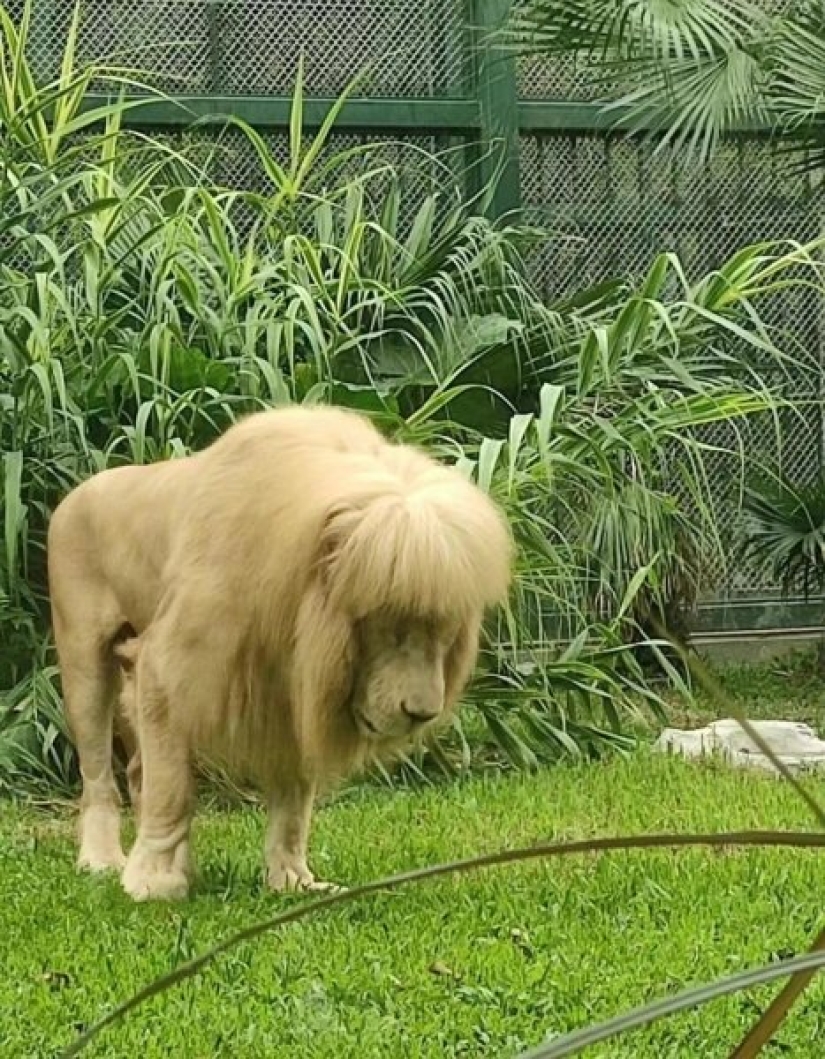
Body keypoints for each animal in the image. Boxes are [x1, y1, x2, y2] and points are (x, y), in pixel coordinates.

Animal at [47, 404, 513, 901]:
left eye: (444, 632)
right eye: (392, 625)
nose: (422, 714)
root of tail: (74, 494)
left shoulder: (293, 691)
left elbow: (293, 803)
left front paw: (292, 881)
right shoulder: (165, 668)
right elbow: (171, 789)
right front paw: (155, 883)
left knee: (138, 770)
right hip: (85, 665)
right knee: (99, 775)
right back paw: (102, 860)